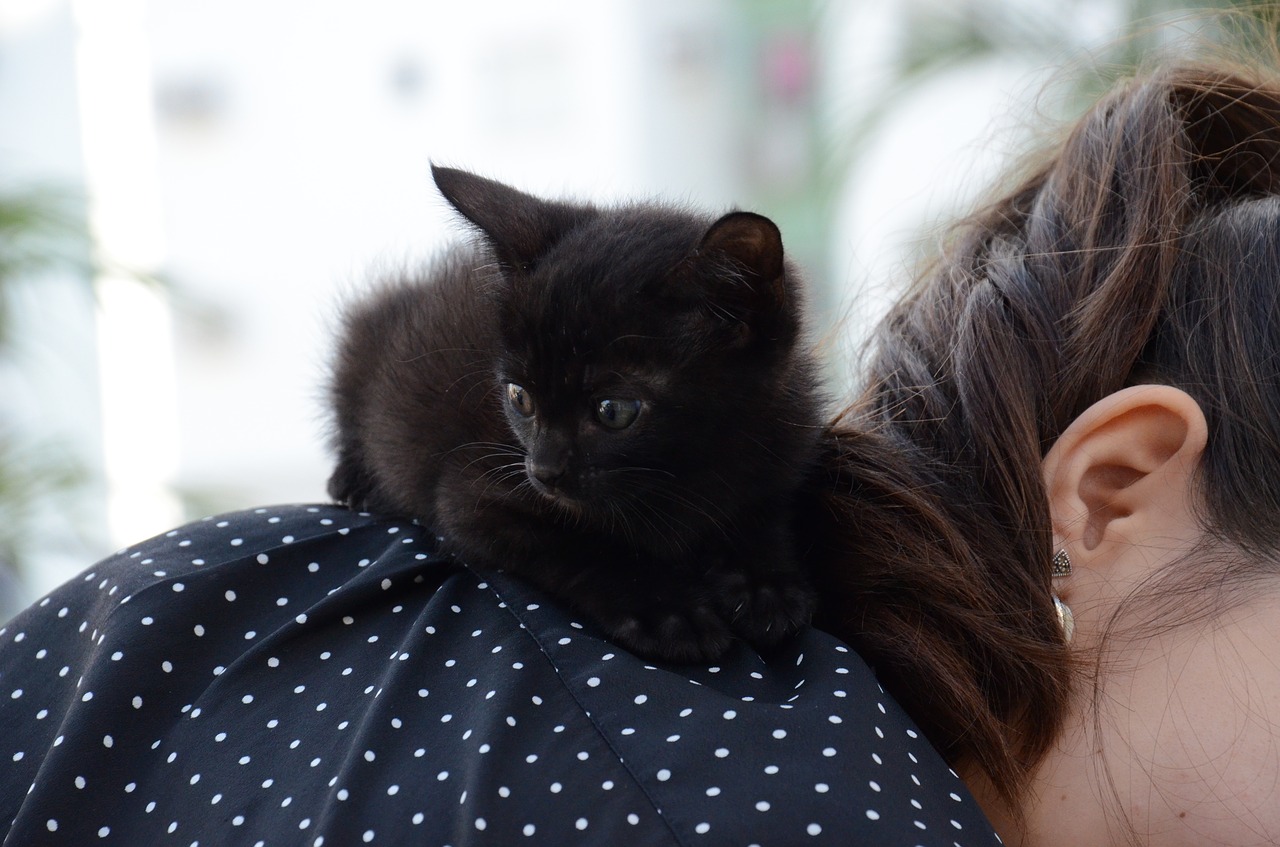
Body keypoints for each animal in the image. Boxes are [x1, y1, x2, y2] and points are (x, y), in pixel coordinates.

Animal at [330, 167, 824, 665]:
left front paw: (763, 584)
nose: (542, 471)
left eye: (613, 411)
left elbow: (760, 513)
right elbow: (580, 545)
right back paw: (353, 480)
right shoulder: (471, 498)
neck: (684, 471)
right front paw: (668, 609)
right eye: (520, 398)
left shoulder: (781, 443)